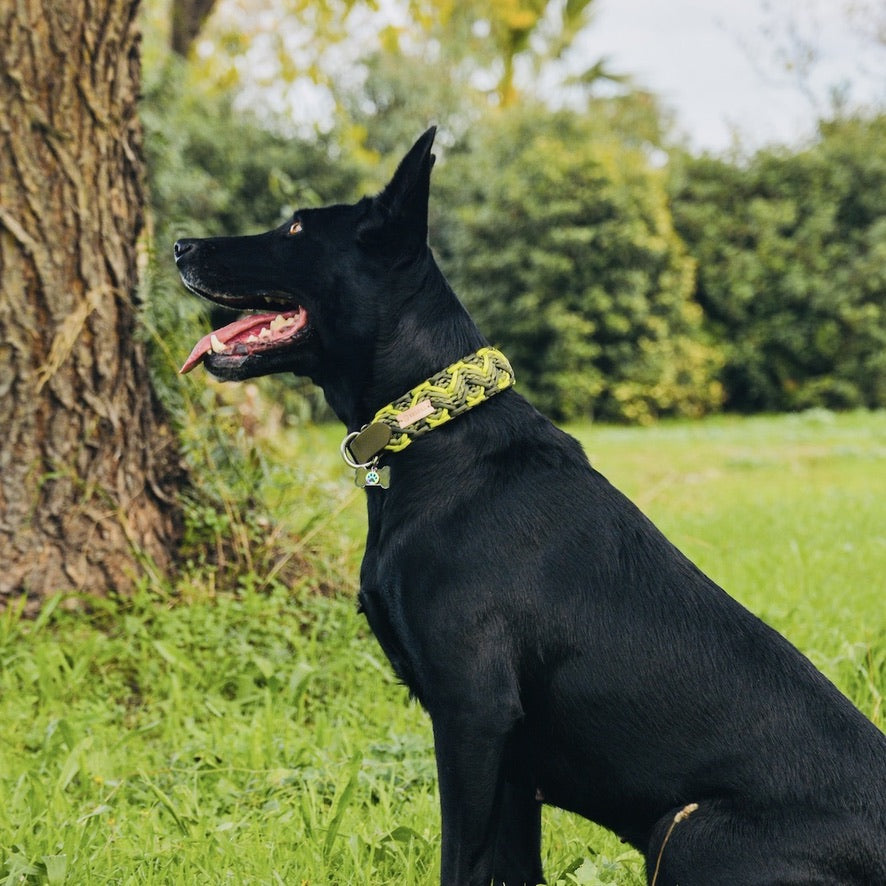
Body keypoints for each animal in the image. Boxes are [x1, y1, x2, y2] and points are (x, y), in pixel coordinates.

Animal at [175, 128, 886, 884]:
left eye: (296, 228)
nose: (180, 245)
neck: (435, 425)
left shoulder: (472, 714)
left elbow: (458, 862)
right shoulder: (511, 766)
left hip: (690, 830)